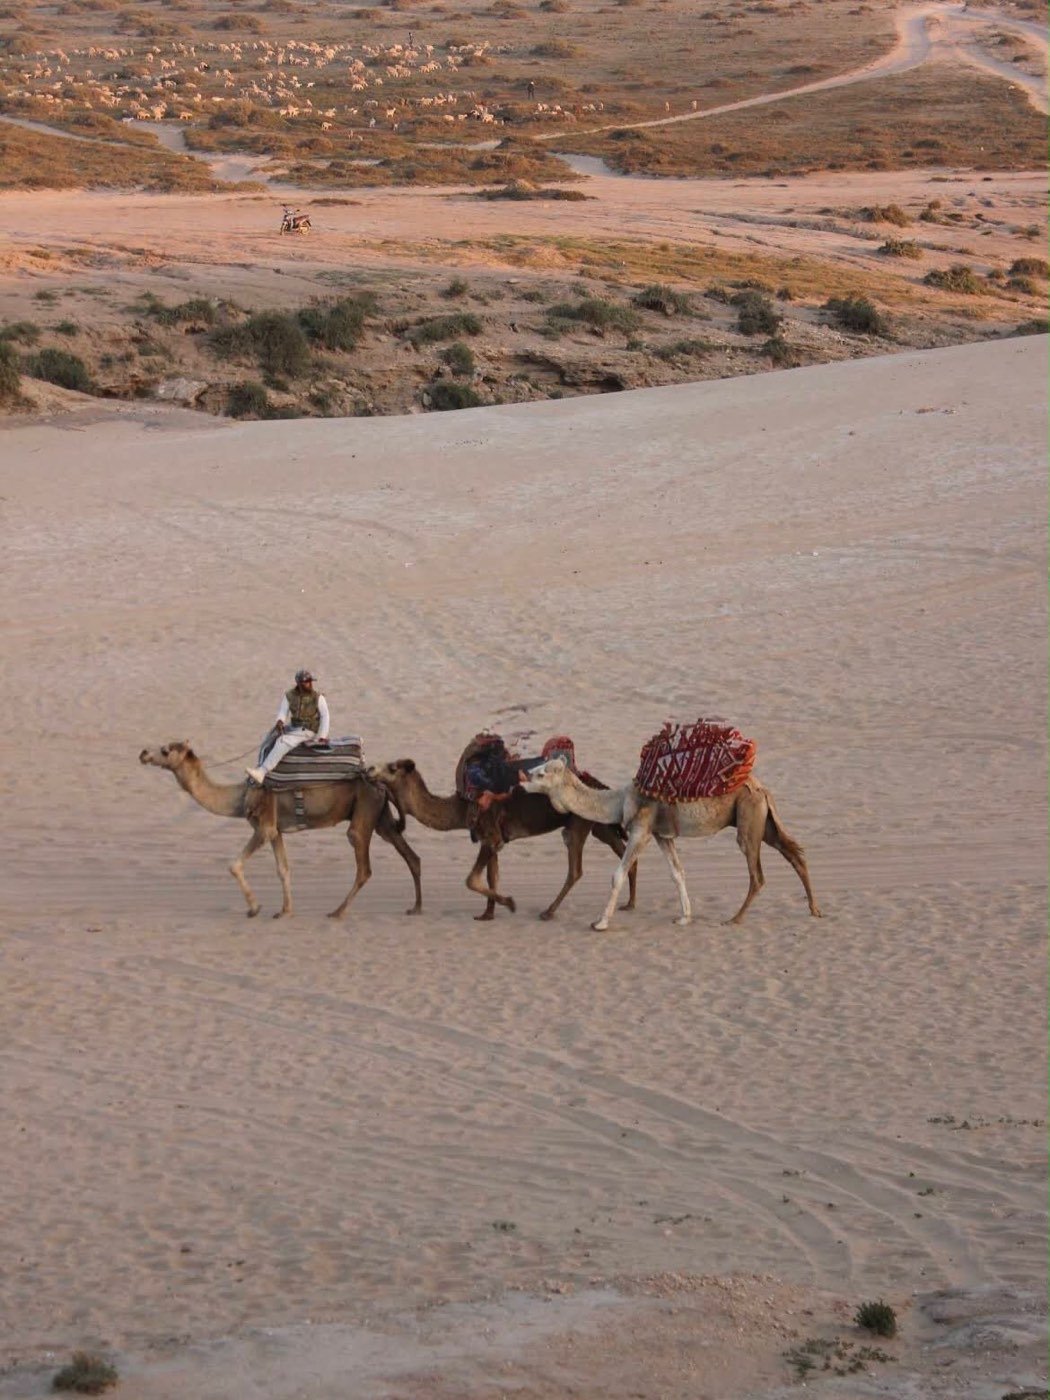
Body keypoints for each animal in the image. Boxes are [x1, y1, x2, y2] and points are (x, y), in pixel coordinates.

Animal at [139, 741, 422, 919]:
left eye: (165, 750)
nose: (143, 753)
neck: (241, 796)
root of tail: (379, 783)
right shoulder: (276, 831)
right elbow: (283, 869)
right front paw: (284, 911)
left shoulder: (263, 827)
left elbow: (234, 865)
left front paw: (254, 908)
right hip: (381, 817)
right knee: (410, 855)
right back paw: (415, 907)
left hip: (363, 813)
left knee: (363, 865)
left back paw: (338, 912)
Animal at [369, 757, 637, 920]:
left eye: (391, 767)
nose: (369, 769)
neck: (463, 809)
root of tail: (599, 785)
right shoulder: (493, 841)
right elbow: (492, 876)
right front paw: (487, 914)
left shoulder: (491, 836)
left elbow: (472, 879)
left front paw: (510, 903)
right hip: (598, 824)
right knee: (624, 852)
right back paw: (630, 904)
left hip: (577, 823)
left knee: (576, 869)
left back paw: (548, 912)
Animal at [521, 758, 821, 930]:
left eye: (542, 774)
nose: (522, 776)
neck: (619, 800)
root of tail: (762, 789)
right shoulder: (662, 835)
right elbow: (678, 872)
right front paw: (684, 917)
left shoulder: (641, 831)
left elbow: (617, 875)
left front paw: (600, 922)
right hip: (763, 820)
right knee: (794, 853)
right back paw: (814, 909)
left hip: (748, 816)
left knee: (757, 873)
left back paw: (734, 919)